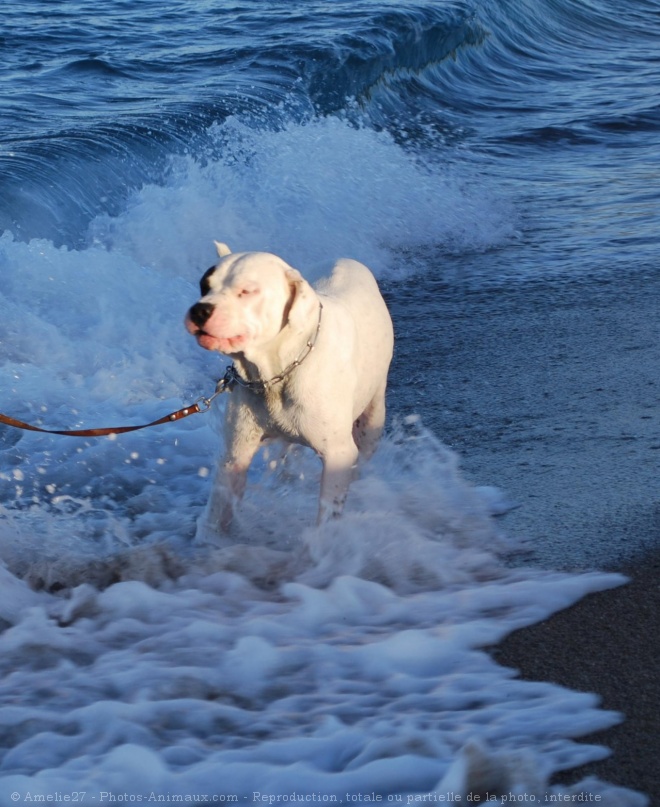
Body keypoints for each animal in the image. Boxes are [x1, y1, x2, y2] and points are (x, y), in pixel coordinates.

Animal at [183, 245, 394, 536]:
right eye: (204, 285)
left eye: (247, 291)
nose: (200, 310)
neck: (276, 373)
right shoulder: (235, 453)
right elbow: (220, 508)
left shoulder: (338, 455)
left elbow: (328, 514)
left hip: (372, 416)